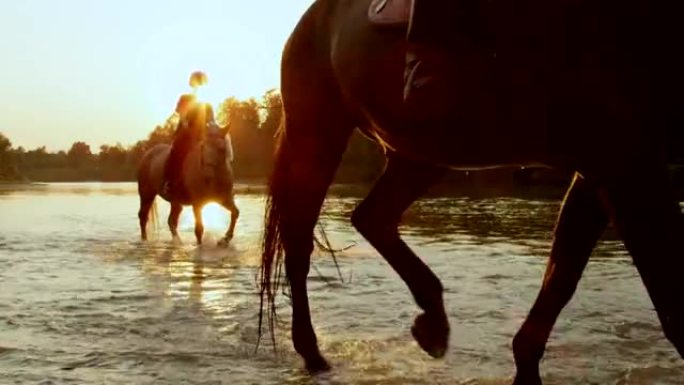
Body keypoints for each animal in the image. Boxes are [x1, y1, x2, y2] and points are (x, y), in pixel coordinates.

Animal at [258, 1, 684, 382]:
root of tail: (308, 21)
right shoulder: (623, 162)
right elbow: (670, 306)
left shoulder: (601, 168)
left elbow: (562, 276)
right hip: (318, 133)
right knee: (300, 247)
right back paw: (313, 353)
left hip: (418, 154)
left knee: (371, 217)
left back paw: (431, 319)